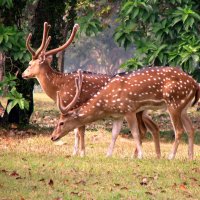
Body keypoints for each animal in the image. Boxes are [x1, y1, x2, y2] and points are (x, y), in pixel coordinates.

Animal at [22, 21, 161, 156]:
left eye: (29, 64)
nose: (23, 74)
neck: (59, 87)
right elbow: (76, 130)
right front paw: (75, 153)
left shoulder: (74, 104)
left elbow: (79, 130)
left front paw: (81, 153)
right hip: (144, 110)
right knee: (153, 127)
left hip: (136, 109)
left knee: (143, 129)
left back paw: (137, 155)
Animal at [52, 67, 200, 159]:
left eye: (61, 122)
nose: (53, 137)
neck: (108, 103)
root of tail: (195, 84)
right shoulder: (118, 115)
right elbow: (114, 134)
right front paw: (108, 154)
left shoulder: (129, 109)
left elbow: (135, 133)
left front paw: (140, 155)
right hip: (183, 107)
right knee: (191, 128)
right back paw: (190, 157)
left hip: (174, 103)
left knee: (179, 130)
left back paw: (171, 156)